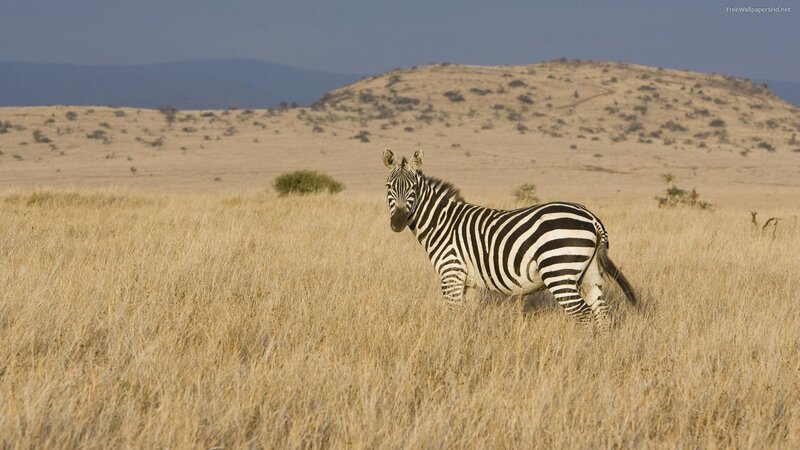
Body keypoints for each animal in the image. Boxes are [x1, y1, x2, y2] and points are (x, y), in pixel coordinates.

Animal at [382, 148, 637, 328]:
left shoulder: (451, 274)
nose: (398, 222)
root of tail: (591, 217)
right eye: (388, 187)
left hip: (559, 271)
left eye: (413, 188)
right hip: (590, 274)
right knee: (602, 314)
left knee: (583, 315)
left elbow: (453, 317)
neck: (442, 223)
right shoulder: (468, 282)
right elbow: (465, 317)